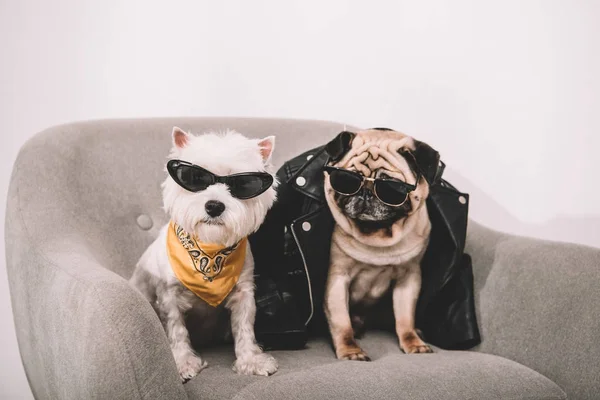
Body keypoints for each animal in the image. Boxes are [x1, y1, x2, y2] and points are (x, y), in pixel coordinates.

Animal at [129, 126, 278, 382]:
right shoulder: (168, 295)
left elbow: (244, 328)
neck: (209, 251)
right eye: (195, 179)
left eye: (243, 185)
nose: (214, 206)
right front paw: (183, 363)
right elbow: (176, 329)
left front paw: (250, 361)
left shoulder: (243, 292)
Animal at [324, 130, 440, 360]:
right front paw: (350, 351)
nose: (366, 192)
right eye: (347, 180)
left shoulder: (409, 278)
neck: (377, 235)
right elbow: (342, 322)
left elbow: (405, 318)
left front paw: (413, 342)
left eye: (391, 188)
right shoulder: (337, 279)